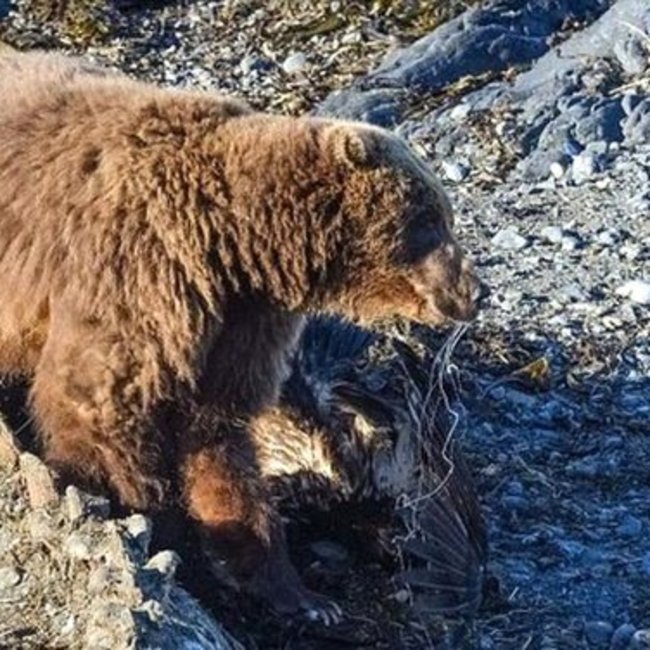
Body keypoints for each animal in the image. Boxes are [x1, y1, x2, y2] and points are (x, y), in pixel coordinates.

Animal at [0, 49, 476, 616]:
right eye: (432, 219)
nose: (474, 291)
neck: (232, 242)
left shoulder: (239, 321)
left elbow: (220, 437)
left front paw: (294, 589)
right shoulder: (136, 271)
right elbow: (100, 407)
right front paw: (139, 521)